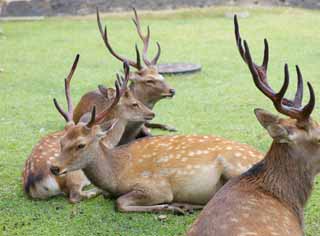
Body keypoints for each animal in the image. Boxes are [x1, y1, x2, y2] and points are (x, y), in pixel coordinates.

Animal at [21, 55, 154, 203]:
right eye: (134, 103)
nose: (151, 113)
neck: (107, 141)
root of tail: (33, 182)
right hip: (74, 174)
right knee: (75, 195)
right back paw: (97, 191)